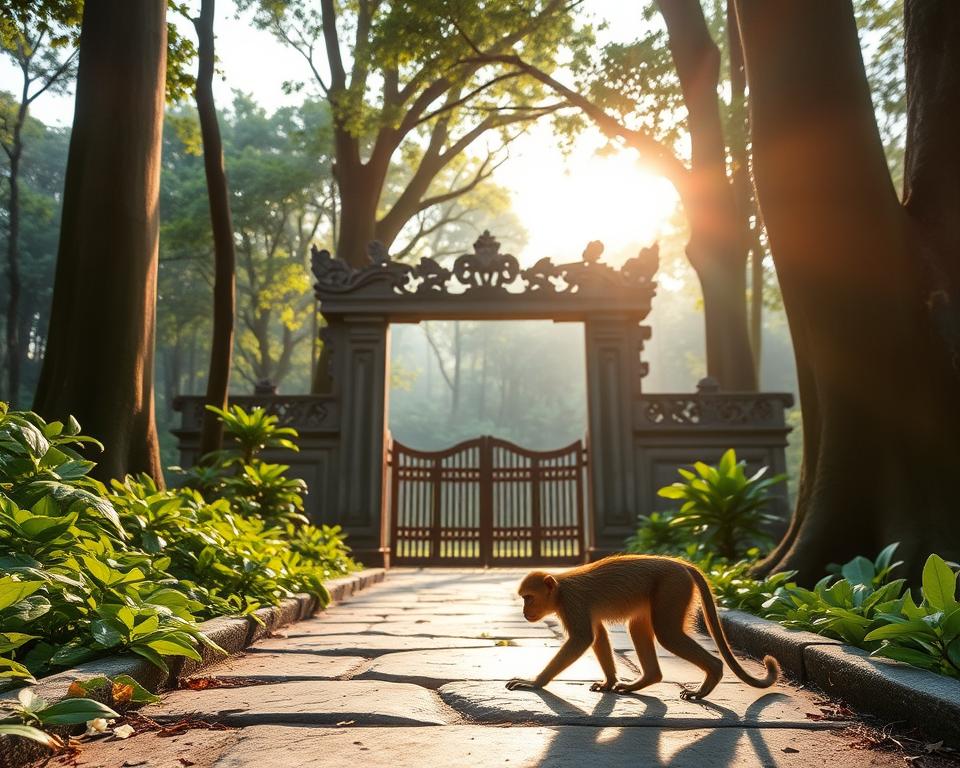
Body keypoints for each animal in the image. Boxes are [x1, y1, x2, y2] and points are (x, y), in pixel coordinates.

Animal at [505, 554, 779, 700]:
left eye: (528, 598)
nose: (524, 611)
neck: (560, 590)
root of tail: (680, 565)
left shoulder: (572, 603)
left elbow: (582, 639)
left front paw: (535, 683)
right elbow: (597, 635)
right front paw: (609, 682)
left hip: (673, 586)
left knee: (668, 635)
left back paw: (711, 675)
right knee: (638, 627)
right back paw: (647, 680)